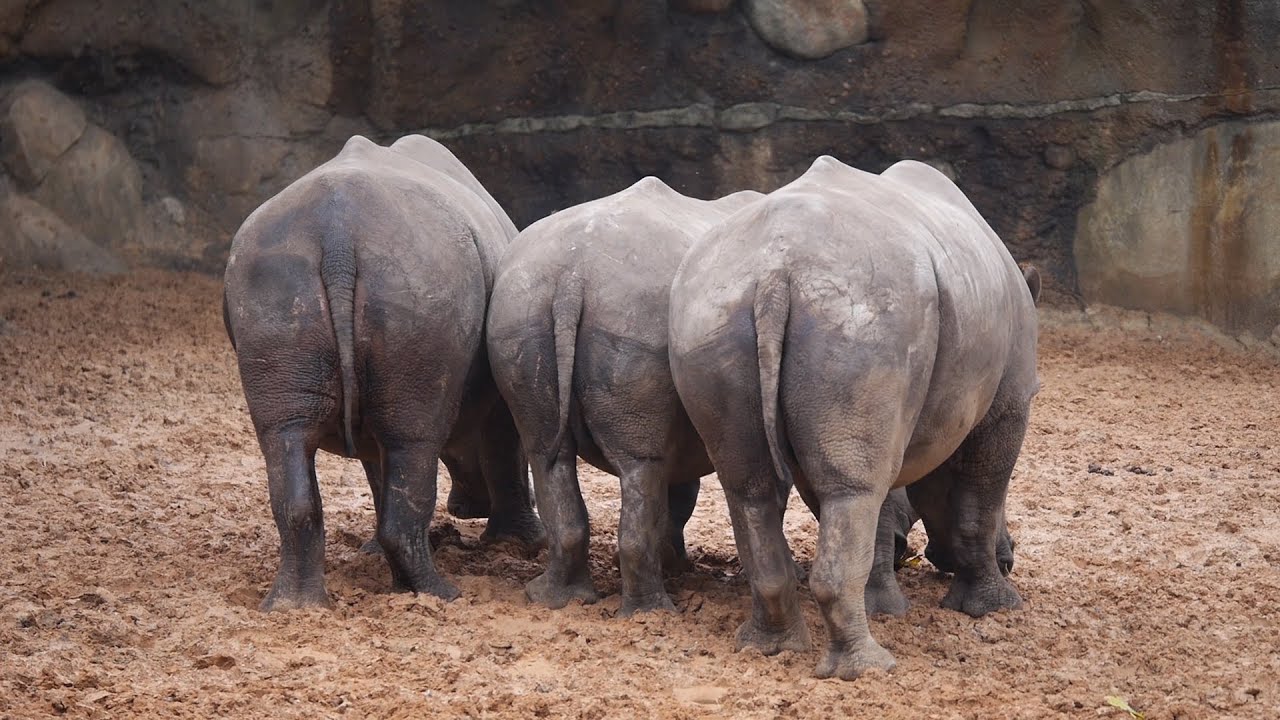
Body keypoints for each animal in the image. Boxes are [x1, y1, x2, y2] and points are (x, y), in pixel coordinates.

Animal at [223, 134, 541, 612]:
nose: (465, 507)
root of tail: (337, 236)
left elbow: (379, 468)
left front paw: (372, 553)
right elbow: (505, 449)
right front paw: (521, 544)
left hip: (271, 280)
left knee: (286, 437)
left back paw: (294, 607)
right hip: (420, 277)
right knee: (413, 441)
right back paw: (439, 594)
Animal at [486, 177, 762, 614]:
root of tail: (574, 275)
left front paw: (675, 563)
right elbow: (678, 492)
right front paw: (676, 565)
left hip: (519, 309)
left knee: (547, 453)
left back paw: (550, 598)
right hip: (633, 316)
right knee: (640, 466)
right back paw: (653, 613)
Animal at [668, 157, 1041, 679]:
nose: (1012, 558)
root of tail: (774, 273)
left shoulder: (896, 415)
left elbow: (881, 507)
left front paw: (885, 606)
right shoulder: (1005, 403)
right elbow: (981, 498)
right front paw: (993, 606)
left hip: (709, 314)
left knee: (756, 488)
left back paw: (770, 648)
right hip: (861, 316)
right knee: (852, 490)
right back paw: (869, 669)